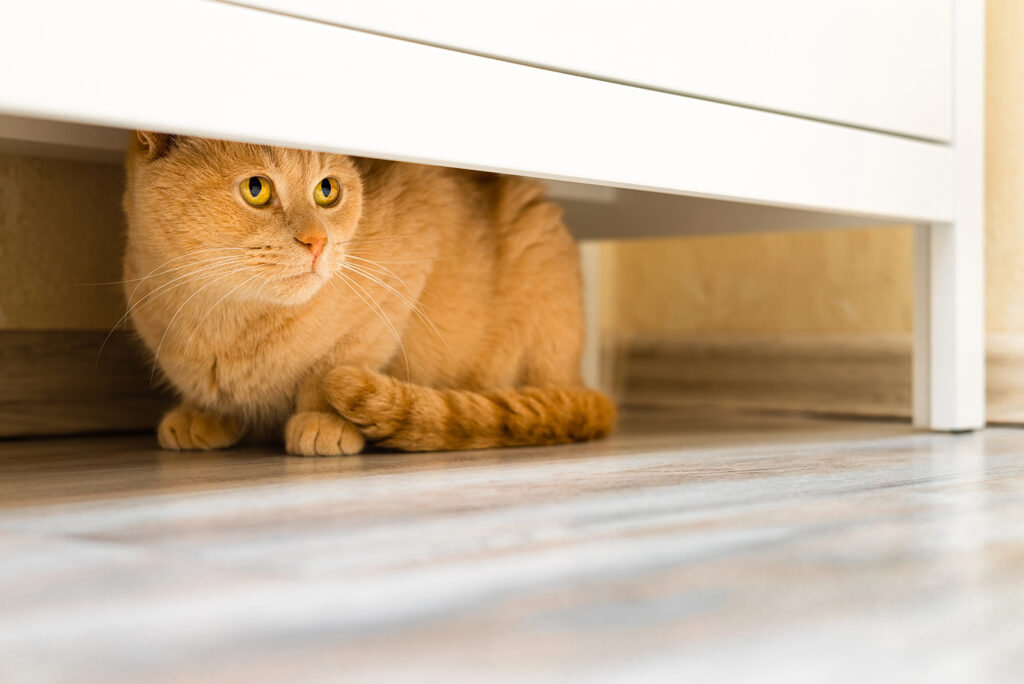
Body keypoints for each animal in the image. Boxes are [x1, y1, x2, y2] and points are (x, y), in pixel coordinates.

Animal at [121, 133, 614, 454]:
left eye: (327, 190)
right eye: (256, 189)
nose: (317, 242)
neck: (227, 321)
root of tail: (577, 375)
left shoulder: (405, 269)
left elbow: (335, 364)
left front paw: (322, 420)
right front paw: (203, 413)